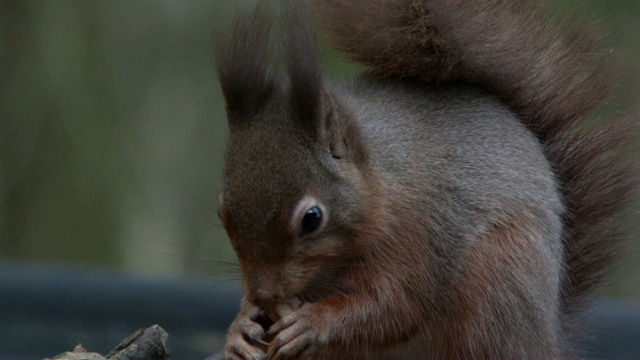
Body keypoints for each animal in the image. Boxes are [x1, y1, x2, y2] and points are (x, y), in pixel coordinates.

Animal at [214, 0, 636, 360]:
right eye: (221, 213)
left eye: (312, 219)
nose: (263, 292)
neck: (382, 183)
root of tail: (548, 341)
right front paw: (241, 325)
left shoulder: (418, 234)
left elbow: (396, 305)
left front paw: (313, 323)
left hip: (497, 287)